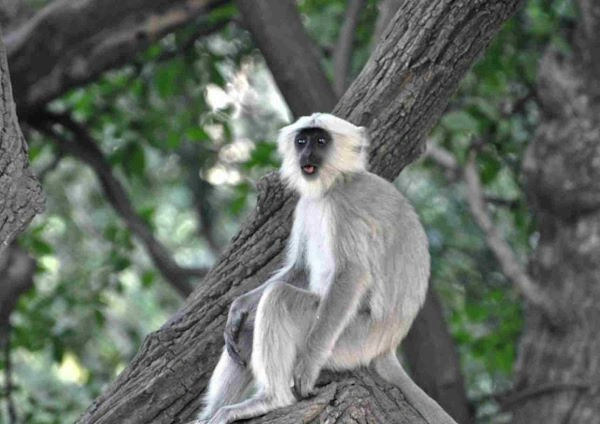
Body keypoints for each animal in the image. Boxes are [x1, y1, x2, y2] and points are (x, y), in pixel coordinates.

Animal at [197, 113, 454, 424]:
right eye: (302, 140)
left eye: (320, 141)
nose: (306, 154)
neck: (336, 182)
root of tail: (386, 347)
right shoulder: (307, 204)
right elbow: (301, 269)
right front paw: (240, 306)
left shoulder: (343, 207)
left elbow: (351, 274)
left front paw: (306, 369)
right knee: (247, 329)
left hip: (350, 340)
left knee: (280, 298)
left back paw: (271, 400)